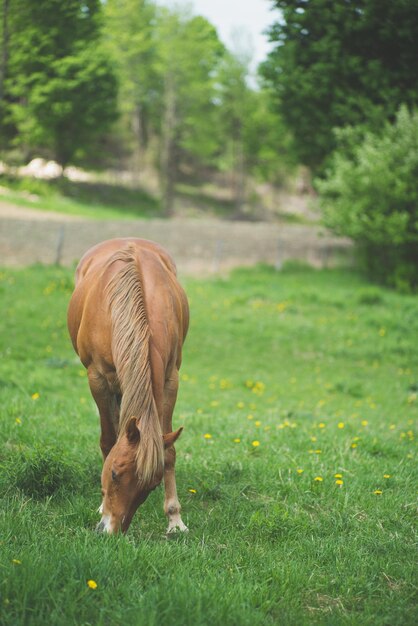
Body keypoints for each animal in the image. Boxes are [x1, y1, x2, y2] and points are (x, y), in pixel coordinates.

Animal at [67, 238, 189, 532]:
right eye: (113, 473)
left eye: (151, 485)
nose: (112, 531)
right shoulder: (97, 379)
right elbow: (109, 440)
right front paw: (101, 506)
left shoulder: (170, 380)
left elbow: (168, 452)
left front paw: (174, 519)